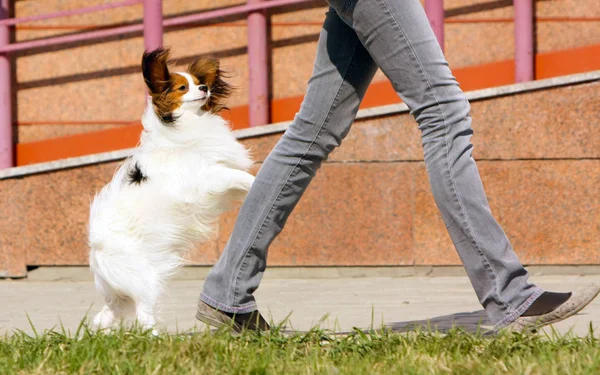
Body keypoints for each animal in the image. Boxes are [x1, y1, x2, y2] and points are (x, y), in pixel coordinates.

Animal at [88, 48, 253, 334]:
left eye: (199, 83)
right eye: (182, 88)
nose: (204, 88)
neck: (186, 124)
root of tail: (97, 248)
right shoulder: (209, 177)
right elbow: (240, 176)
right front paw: (255, 182)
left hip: (122, 292)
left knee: (107, 314)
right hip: (145, 281)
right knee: (143, 316)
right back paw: (156, 339)